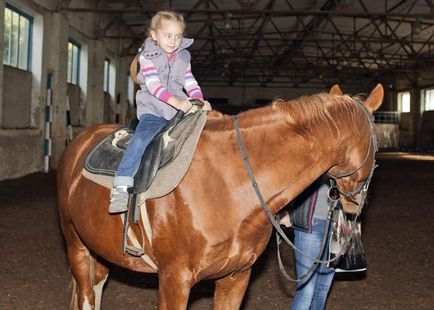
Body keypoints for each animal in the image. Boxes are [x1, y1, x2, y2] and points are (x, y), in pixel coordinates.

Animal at [56, 83, 384, 308]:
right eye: (377, 143)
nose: (355, 203)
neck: (229, 182)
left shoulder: (236, 277)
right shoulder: (174, 280)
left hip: (98, 245)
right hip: (76, 244)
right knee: (86, 294)